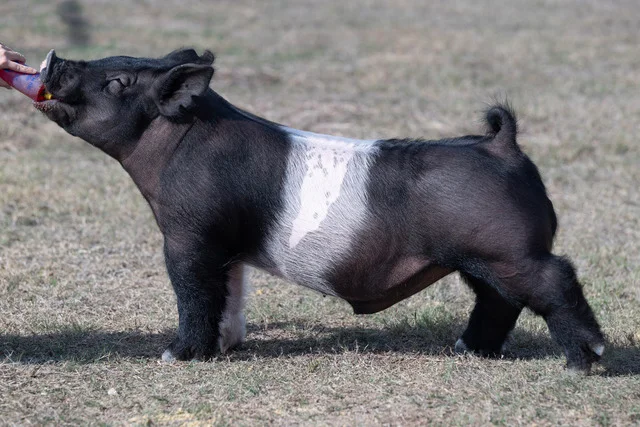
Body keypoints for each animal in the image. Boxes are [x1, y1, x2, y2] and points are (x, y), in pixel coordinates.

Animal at [33, 48, 605, 372]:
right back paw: (466, 351)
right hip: (481, 258)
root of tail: (502, 146)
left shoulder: (188, 236)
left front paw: (177, 356)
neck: (176, 145)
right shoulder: (225, 246)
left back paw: (584, 362)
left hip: (512, 250)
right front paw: (225, 347)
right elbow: (229, 292)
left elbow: (193, 292)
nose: (54, 60)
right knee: (498, 300)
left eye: (117, 83)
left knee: (555, 280)